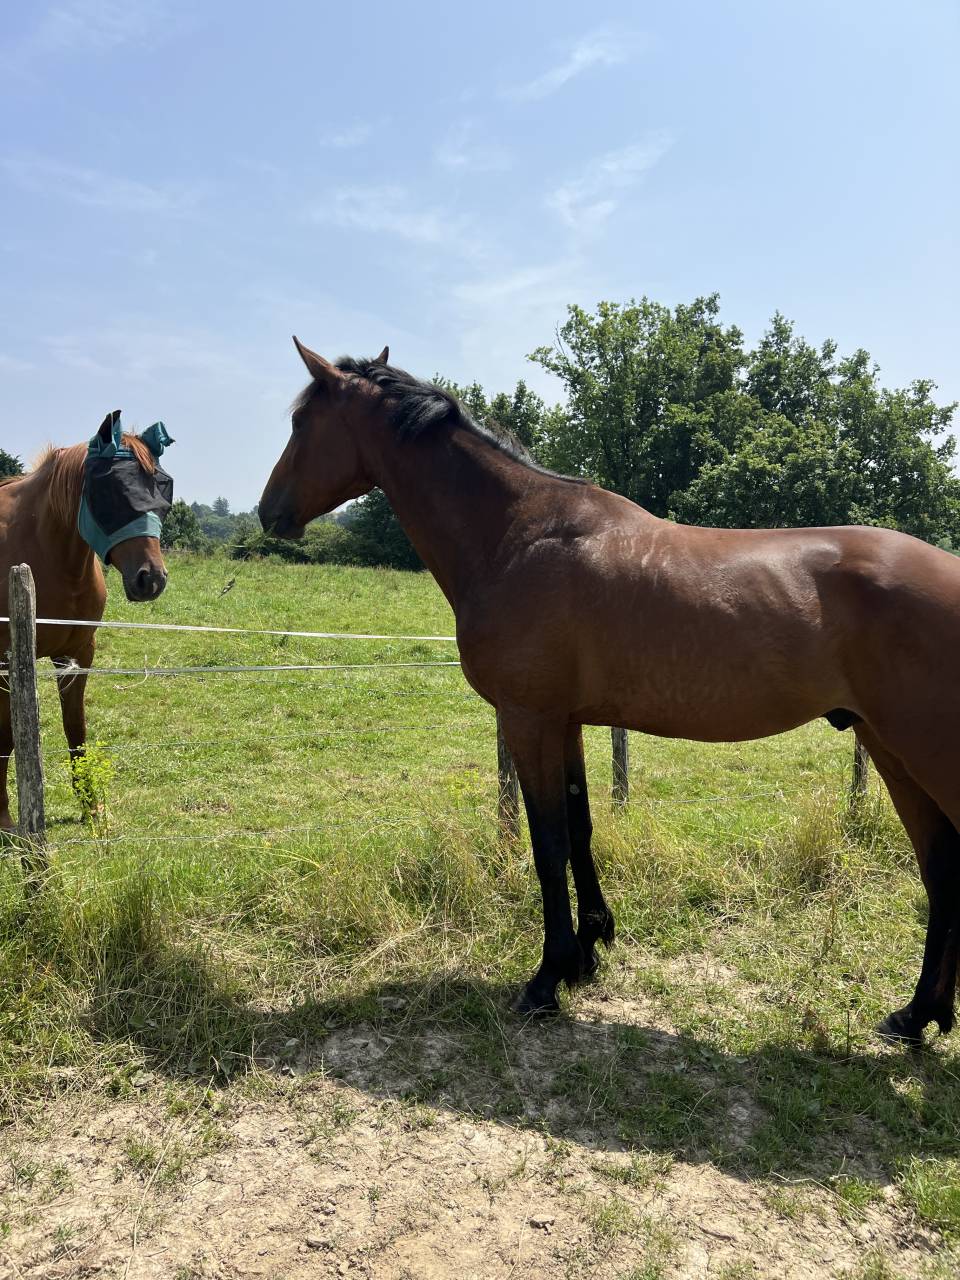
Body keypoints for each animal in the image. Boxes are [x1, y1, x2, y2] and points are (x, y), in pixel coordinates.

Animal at [1, 411, 174, 831]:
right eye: (112, 491)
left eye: (163, 489)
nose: (151, 579)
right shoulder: (7, 661)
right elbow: (7, 737)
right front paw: (5, 819)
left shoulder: (77, 655)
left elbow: (75, 729)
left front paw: (92, 807)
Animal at [259, 338, 960, 1048]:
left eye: (300, 422)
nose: (268, 512)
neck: (516, 535)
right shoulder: (564, 722)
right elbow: (580, 826)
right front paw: (590, 950)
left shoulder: (528, 719)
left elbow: (548, 845)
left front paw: (547, 978)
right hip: (891, 751)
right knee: (942, 867)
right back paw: (917, 1015)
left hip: (923, 752)